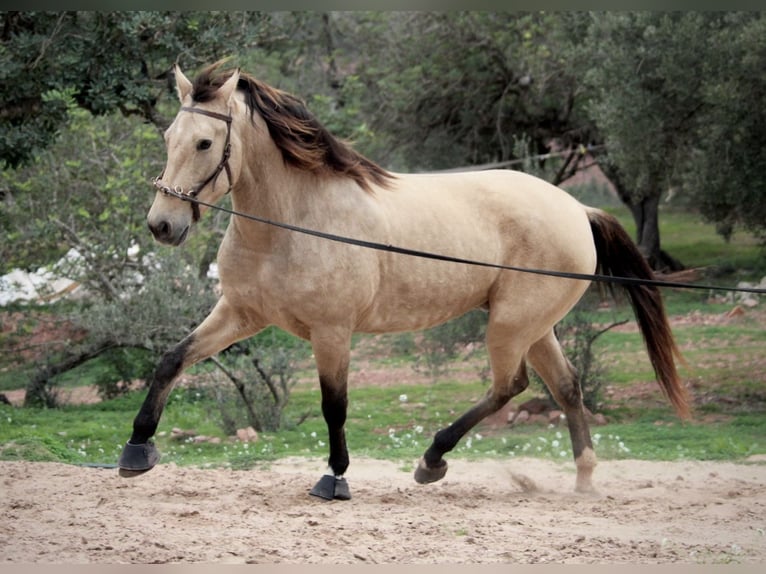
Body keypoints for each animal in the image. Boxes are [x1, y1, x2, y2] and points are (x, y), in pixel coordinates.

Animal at [117, 63, 692, 502]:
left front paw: (335, 479)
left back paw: (433, 459)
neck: (292, 223)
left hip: (511, 324)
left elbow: (334, 405)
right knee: (566, 385)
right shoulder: (240, 313)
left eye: (205, 142)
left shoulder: (332, 332)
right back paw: (583, 480)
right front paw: (137, 449)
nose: (162, 224)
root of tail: (576, 208)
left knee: (511, 386)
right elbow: (172, 359)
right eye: (168, 138)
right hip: (533, 325)